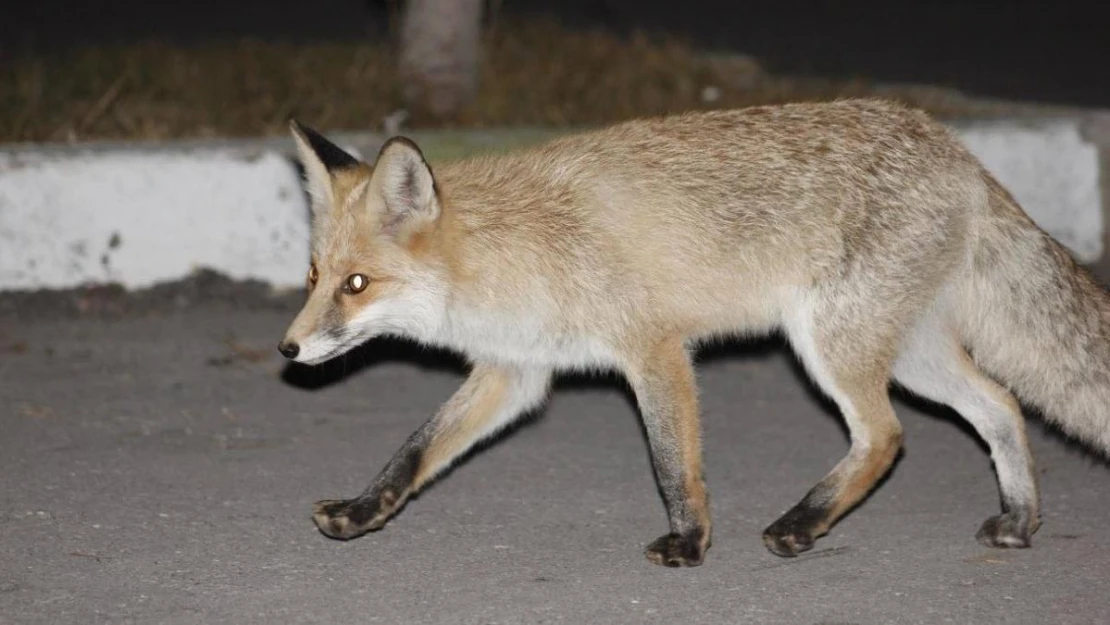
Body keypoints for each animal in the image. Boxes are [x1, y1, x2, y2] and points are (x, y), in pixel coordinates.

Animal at [275, 98, 1110, 568]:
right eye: (313, 275)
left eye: (357, 284)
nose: (288, 350)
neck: (516, 248)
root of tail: (958, 149)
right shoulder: (515, 372)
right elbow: (414, 451)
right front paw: (362, 510)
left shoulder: (656, 349)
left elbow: (674, 464)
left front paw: (689, 542)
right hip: (910, 353)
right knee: (1001, 404)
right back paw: (1020, 519)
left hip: (832, 345)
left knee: (886, 436)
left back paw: (802, 523)